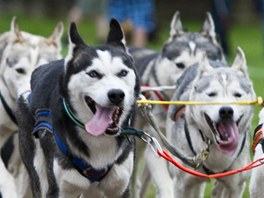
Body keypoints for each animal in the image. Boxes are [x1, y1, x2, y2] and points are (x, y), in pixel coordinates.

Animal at [16, 19, 140, 198]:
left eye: (123, 72)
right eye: (93, 73)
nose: (116, 94)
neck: (99, 140)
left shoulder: (121, 188)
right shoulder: (58, 190)